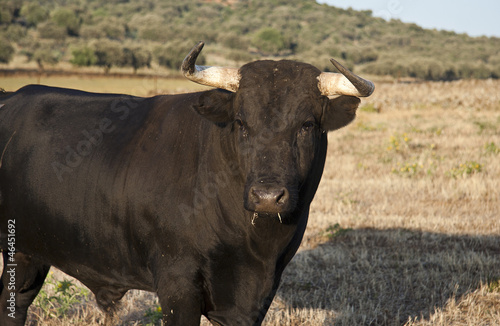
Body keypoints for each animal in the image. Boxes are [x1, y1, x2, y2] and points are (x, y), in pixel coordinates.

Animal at [0, 42, 374, 324]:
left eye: (307, 125)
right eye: (241, 122)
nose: (267, 196)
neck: (254, 245)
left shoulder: (256, 296)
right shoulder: (177, 283)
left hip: (29, 253)